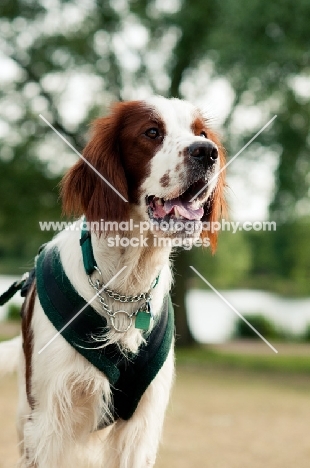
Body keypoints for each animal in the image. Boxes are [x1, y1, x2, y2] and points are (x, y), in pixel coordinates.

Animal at [0, 97, 224, 466]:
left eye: (201, 133)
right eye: (152, 132)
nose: (207, 152)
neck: (125, 281)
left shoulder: (140, 426)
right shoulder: (50, 420)